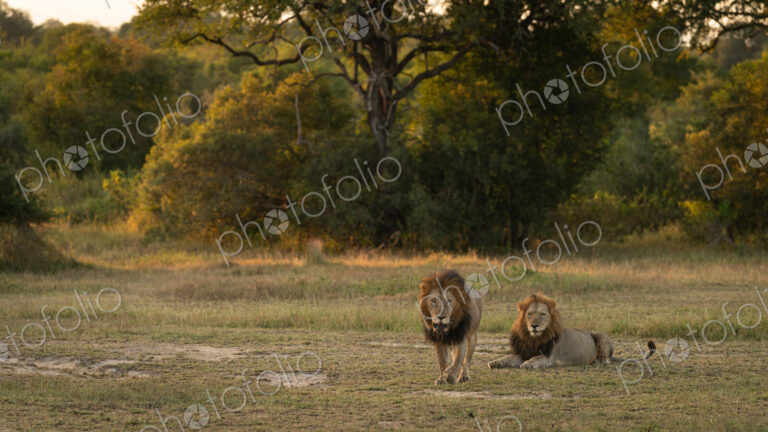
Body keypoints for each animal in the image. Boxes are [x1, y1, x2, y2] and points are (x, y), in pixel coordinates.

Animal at [488, 293, 654, 369]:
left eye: (542, 314)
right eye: (529, 314)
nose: (534, 325)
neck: (534, 338)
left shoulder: (550, 357)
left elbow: (536, 359)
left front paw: (527, 364)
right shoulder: (522, 352)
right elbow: (508, 358)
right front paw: (495, 362)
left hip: (600, 336)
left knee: (606, 358)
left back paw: (598, 360)